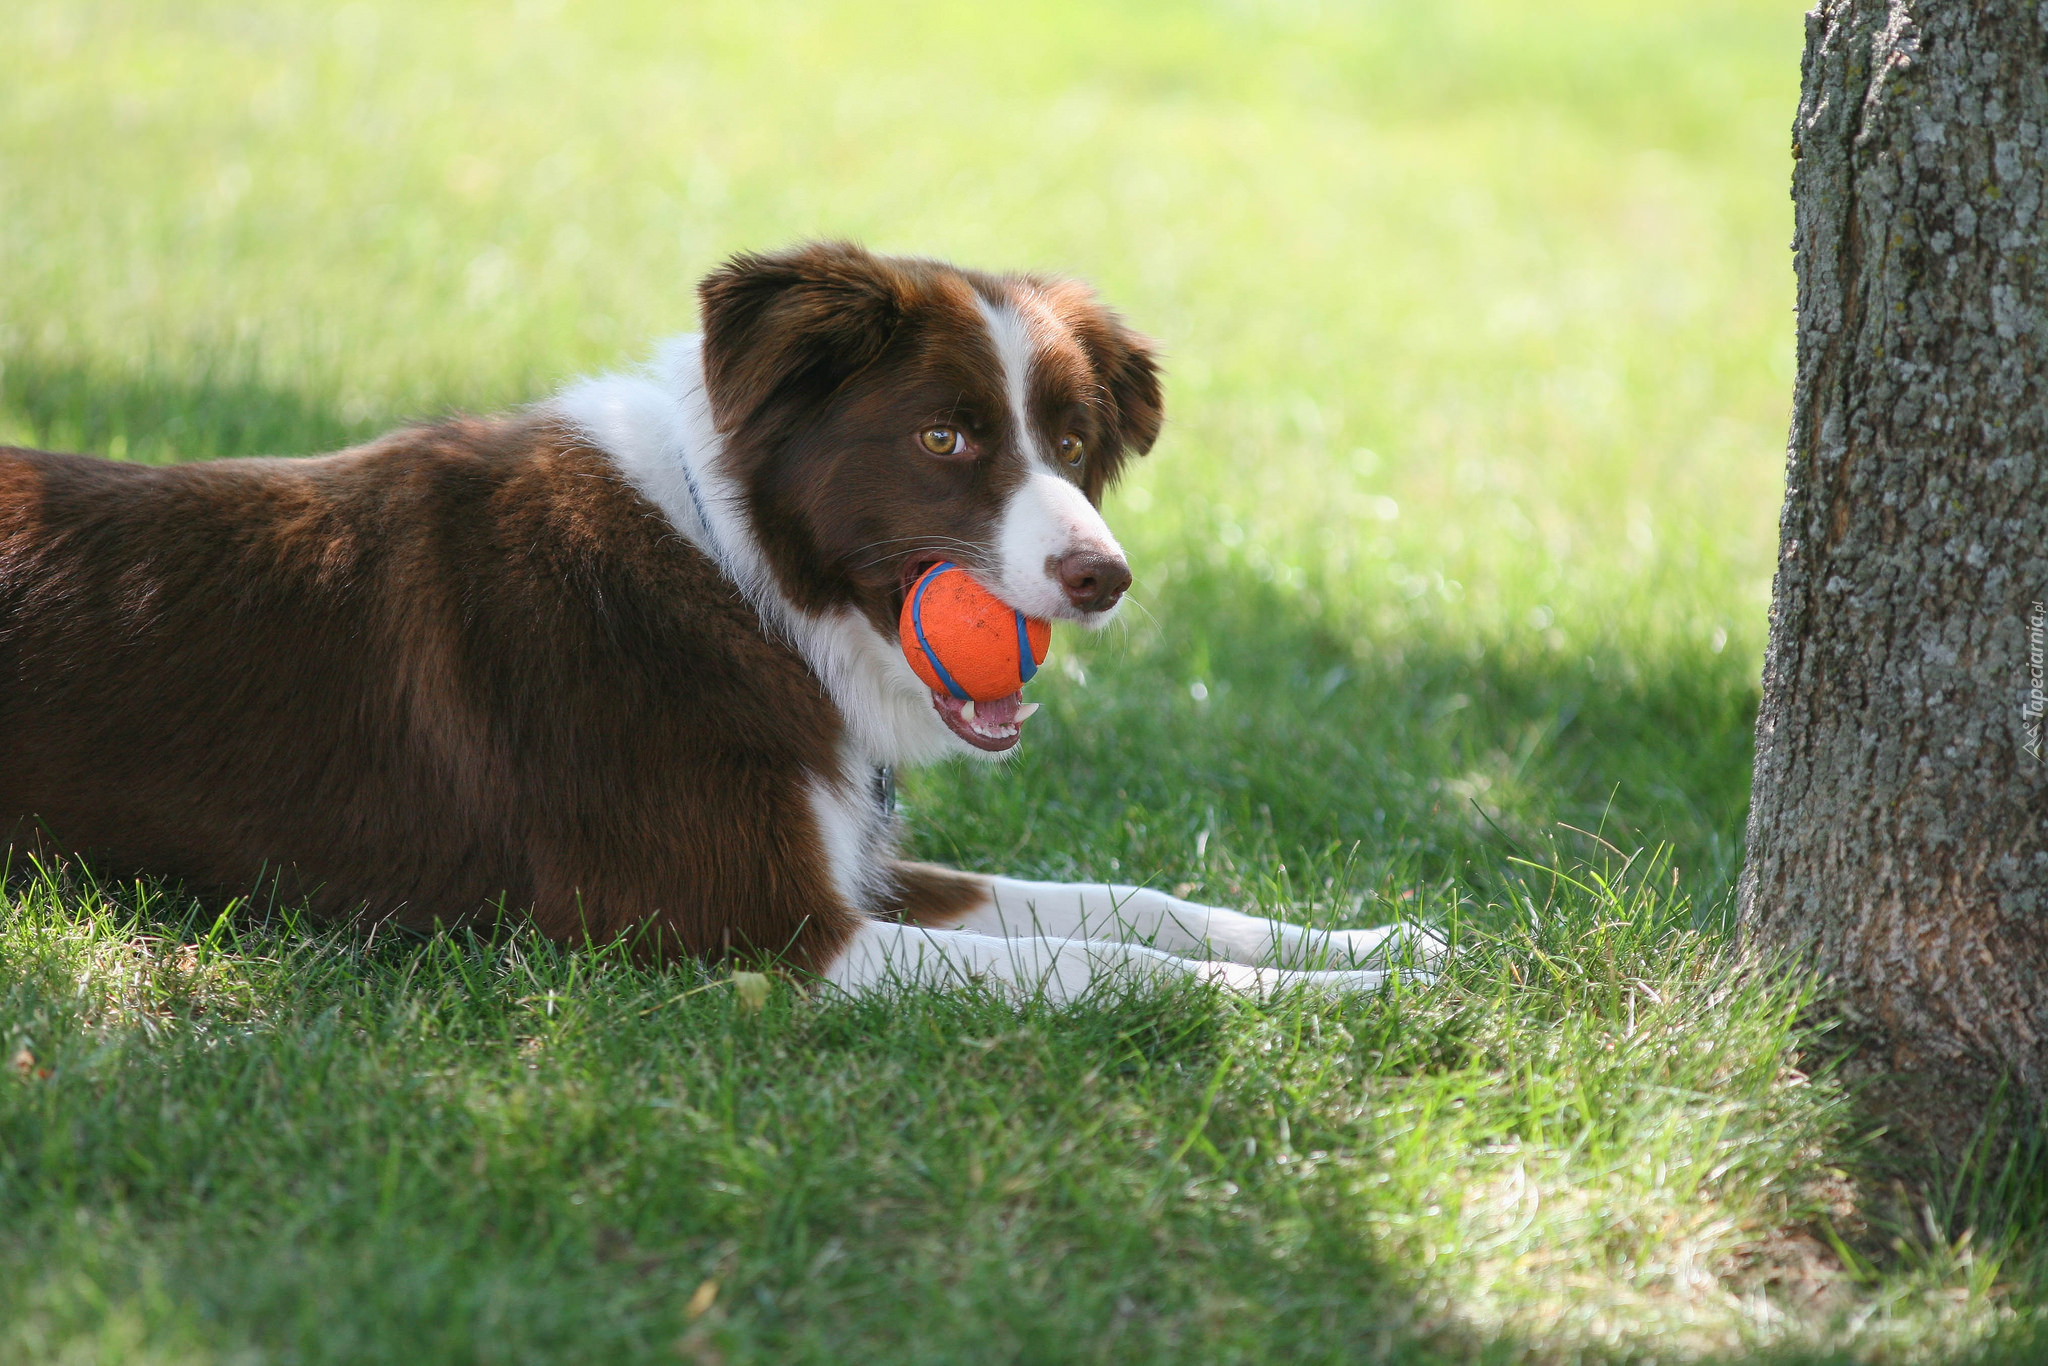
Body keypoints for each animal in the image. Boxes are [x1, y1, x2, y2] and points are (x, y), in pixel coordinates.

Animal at [4, 242, 1425, 995]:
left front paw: (1372, 940)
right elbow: (1113, 967)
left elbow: (1129, 900)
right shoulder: (754, 926)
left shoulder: (847, 856)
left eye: (1071, 443)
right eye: (945, 437)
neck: (737, 576)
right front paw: (1335, 1002)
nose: (1103, 576)